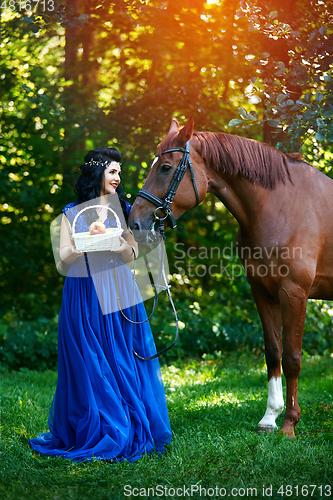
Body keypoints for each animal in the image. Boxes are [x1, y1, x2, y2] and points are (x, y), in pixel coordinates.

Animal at [127, 117, 332, 438]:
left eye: (165, 168)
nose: (135, 222)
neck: (282, 206)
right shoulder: (263, 292)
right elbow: (273, 352)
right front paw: (269, 418)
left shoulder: (294, 294)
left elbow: (292, 358)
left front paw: (289, 423)